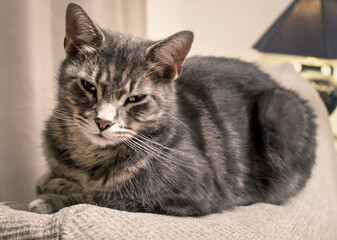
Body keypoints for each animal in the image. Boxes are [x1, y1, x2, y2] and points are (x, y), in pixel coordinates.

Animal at [28, 2, 316, 216]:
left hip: (278, 109)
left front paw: (53, 196)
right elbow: (52, 178)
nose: (103, 122)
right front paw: (53, 181)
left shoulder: (192, 194)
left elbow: (101, 196)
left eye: (135, 98)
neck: (87, 159)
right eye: (88, 86)